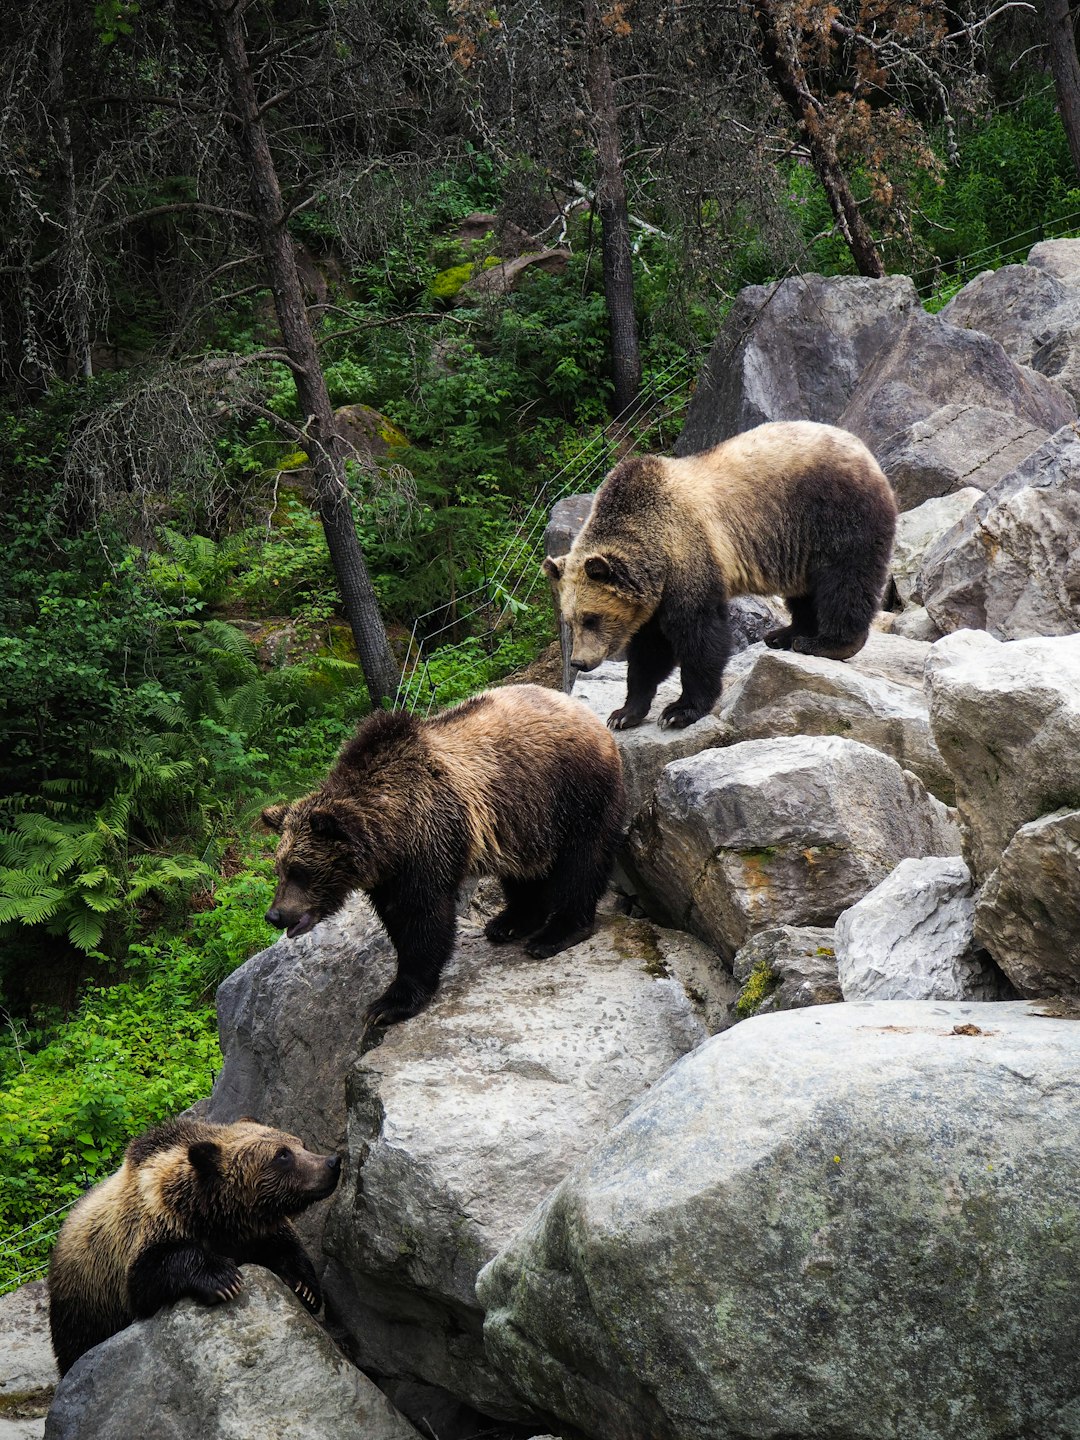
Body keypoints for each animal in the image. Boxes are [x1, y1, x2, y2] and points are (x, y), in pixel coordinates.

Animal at [47, 1111, 338, 1370]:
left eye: (300, 1143)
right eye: (282, 1155)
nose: (332, 1162)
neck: (212, 1215)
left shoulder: (253, 1232)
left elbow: (286, 1246)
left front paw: (305, 1288)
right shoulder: (148, 1232)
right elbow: (150, 1273)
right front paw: (224, 1279)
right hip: (85, 1303)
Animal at [262, 682, 630, 1025]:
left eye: (300, 871)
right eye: (279, 870)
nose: (275, 915)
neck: (390, 834)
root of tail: (586, 713)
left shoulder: (428, 840)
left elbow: (423, 920)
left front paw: (389, 1004)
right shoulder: (389, 873)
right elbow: (397, 919)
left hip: (574, 792)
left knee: (582, 861)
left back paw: (556, 933)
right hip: (523, 819)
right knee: (524, 870)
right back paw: (510, 922)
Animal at [544, 417, 898, 731]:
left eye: (592, 618)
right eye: (569, 620)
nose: (578, 662)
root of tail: (862, 448)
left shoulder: (689, 555)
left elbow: (699, 635)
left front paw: (680, 710)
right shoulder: (654, 595)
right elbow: (649, 651)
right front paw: (624, 713)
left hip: (834, 512)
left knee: (844, 580)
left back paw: (827, 643)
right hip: (798, 542)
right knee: (805, 590)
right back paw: (785, 634)